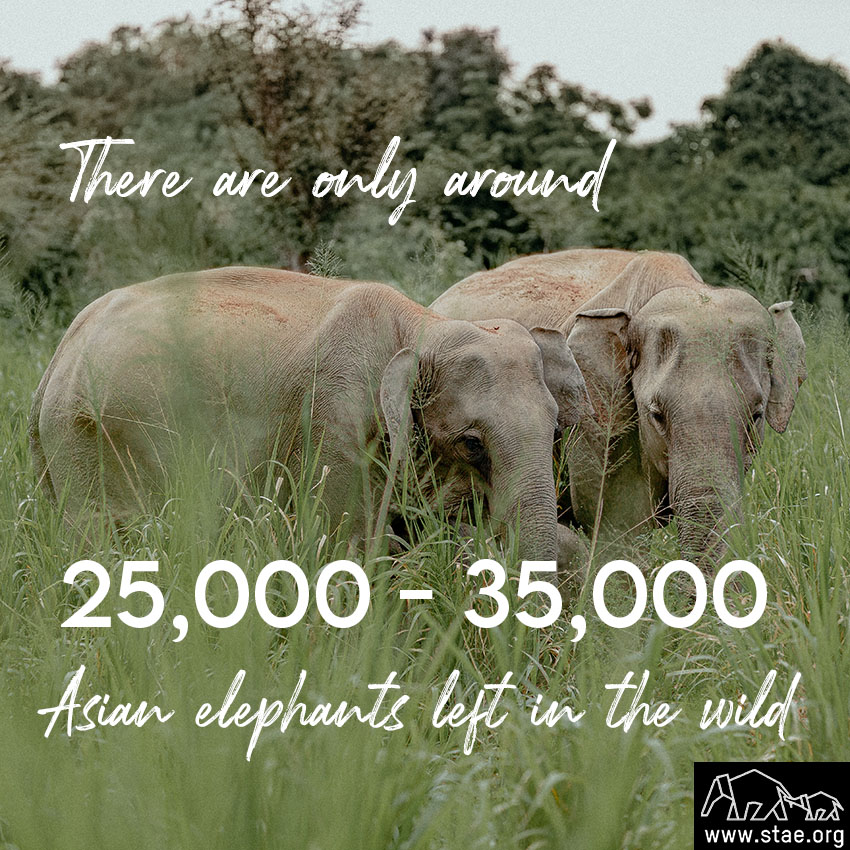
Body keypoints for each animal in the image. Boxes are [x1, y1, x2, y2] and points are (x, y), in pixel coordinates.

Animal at [30, 266, 593, 566]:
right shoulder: (334, 416)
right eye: (471, 442)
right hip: (84, 440)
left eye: (556, 431)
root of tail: (57, 355)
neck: (421, 325)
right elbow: (345, 543)